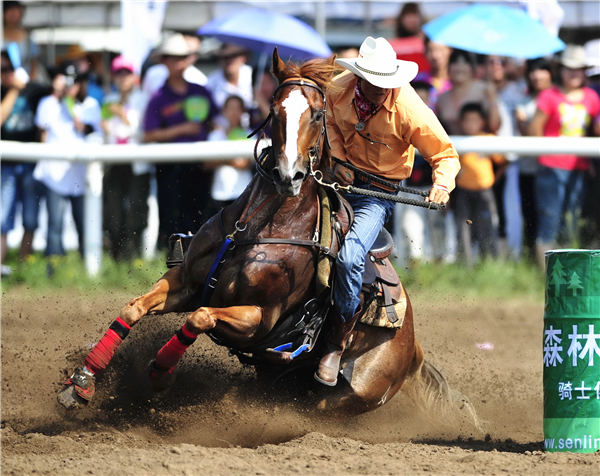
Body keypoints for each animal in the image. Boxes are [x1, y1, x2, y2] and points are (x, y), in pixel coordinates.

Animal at [58, 49, 480, 424]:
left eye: (317, 113)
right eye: (275, 110)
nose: (288, 175)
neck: (262, 227)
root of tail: (413, 349)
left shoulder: (259, 319)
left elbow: (199, 317)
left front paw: (160, 374)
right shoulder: (187, 282)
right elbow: (133, 309)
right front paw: (81, 383)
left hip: (352, 392)